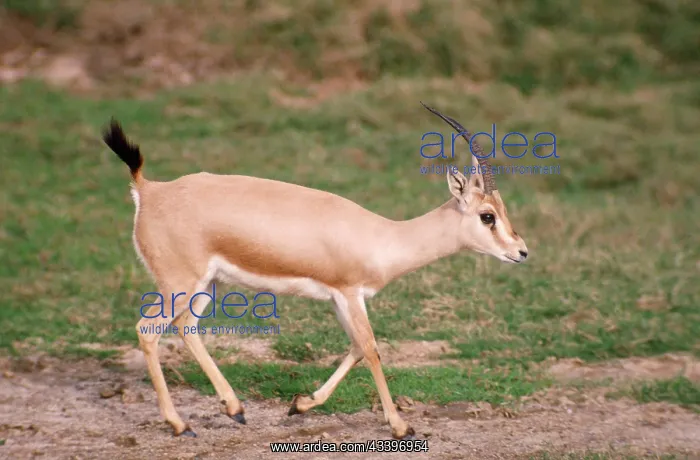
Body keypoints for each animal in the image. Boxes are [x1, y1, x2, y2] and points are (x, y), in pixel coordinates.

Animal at [102, 102, 528, 440]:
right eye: (487, 216)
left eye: (503, 210)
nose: (521, 252)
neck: (382, 237)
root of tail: (150, 190)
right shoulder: (350, 293)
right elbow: (372, 349)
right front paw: (401, 426)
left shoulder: (340, 298)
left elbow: (355, 348)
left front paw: (300, 405)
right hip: (179, 284)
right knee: (148, 331)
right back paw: (179, 424)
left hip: (204, 286)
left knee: (186, 327)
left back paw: (235, 409)